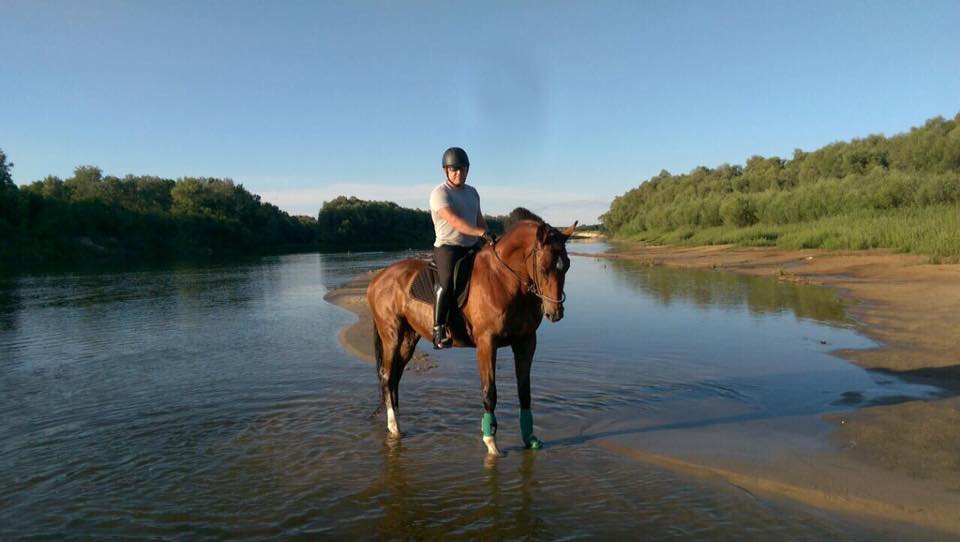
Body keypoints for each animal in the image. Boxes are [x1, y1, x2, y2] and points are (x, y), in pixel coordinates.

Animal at [368, 210, 576, 456]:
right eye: (544, 268)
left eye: (567, 266)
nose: (556, 312)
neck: (504, 279)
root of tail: (378, 279)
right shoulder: (487, 342)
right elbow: (489, 391)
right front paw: (491, 442)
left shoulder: (526, 342)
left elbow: (525, 391)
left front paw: (529, 438)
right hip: (392, 334)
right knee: (387, 375)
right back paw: (394, 426)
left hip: (410, 337)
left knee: (396, 376)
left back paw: (397, 421)